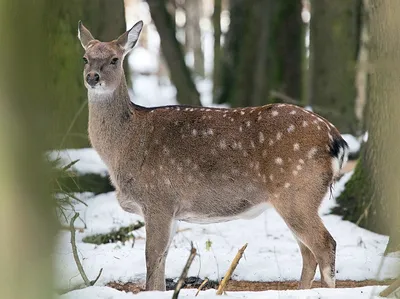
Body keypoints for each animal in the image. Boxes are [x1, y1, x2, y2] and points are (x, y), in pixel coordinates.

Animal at [76, 21, 348, 292]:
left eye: (114, 59)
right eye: (85, 58)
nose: (92, 77)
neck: (125, 146)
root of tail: (336, 139)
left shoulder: (158, 199)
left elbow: (152, 264)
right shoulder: (172, 211)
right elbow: (161, 267)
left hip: (297, 191)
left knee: (325, 245)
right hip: (298, 198)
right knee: (308, 252)